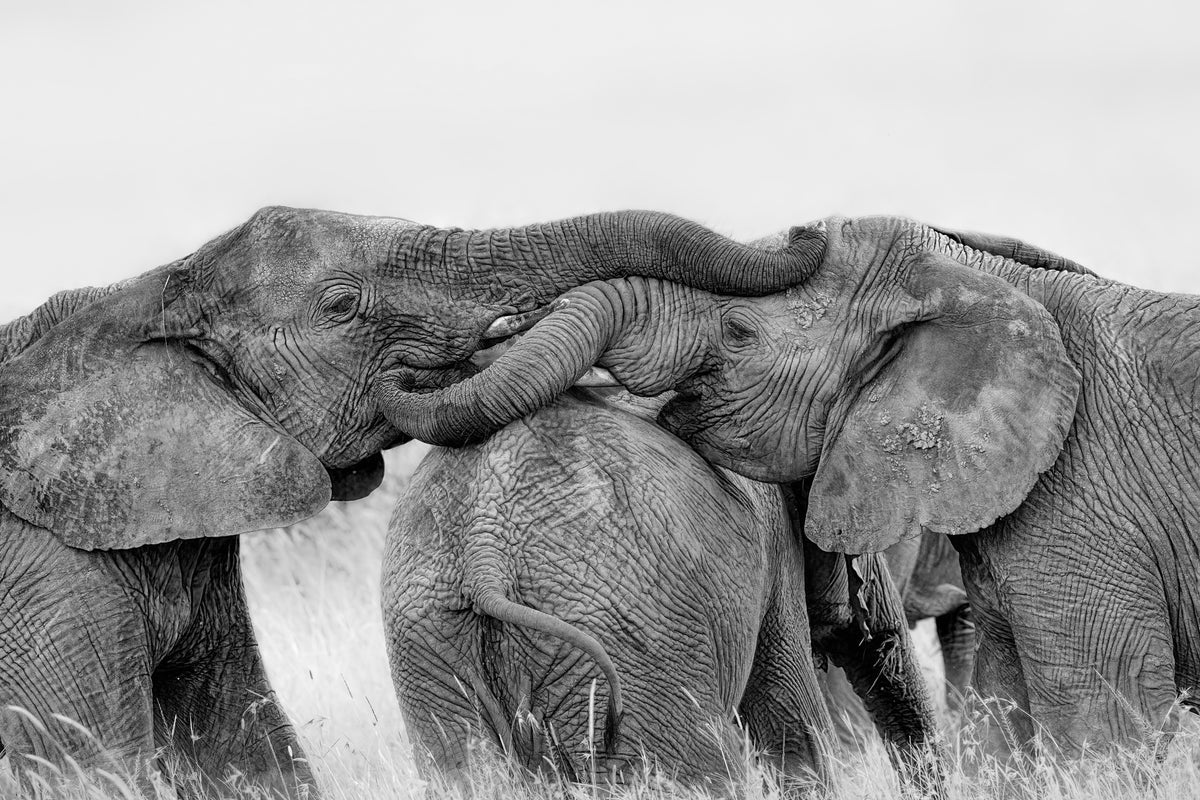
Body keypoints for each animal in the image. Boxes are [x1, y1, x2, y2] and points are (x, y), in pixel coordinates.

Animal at [0, 206, 827, 796]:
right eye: (340, 305)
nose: (808, 227)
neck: (133, 301)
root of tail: (488, 545)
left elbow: (242, 743)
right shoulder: (45, 583)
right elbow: (92, 767)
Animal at [383, 389, 941, 792]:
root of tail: (485, 545)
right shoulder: (773, 554)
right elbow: (793, 729)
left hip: (426, 641)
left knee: (466, 772)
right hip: (630, 637)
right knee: (701, 772)